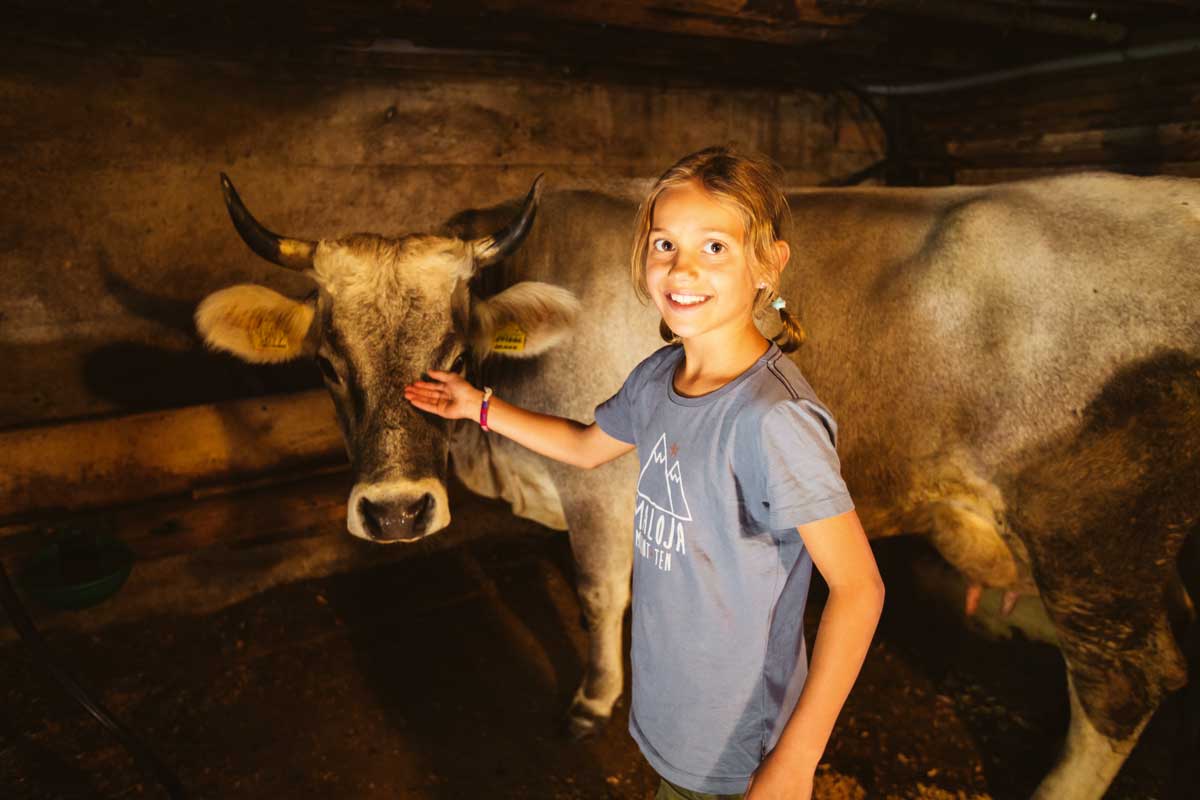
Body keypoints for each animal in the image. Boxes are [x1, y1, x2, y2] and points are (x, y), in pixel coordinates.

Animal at [192, 170, 1195, 800]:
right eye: (327, 364)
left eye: (454, 352)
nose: (397, 511)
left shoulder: (602, 488)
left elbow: (602, 592)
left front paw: (595, 702)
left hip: (1094, 533)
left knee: (1127, 681)